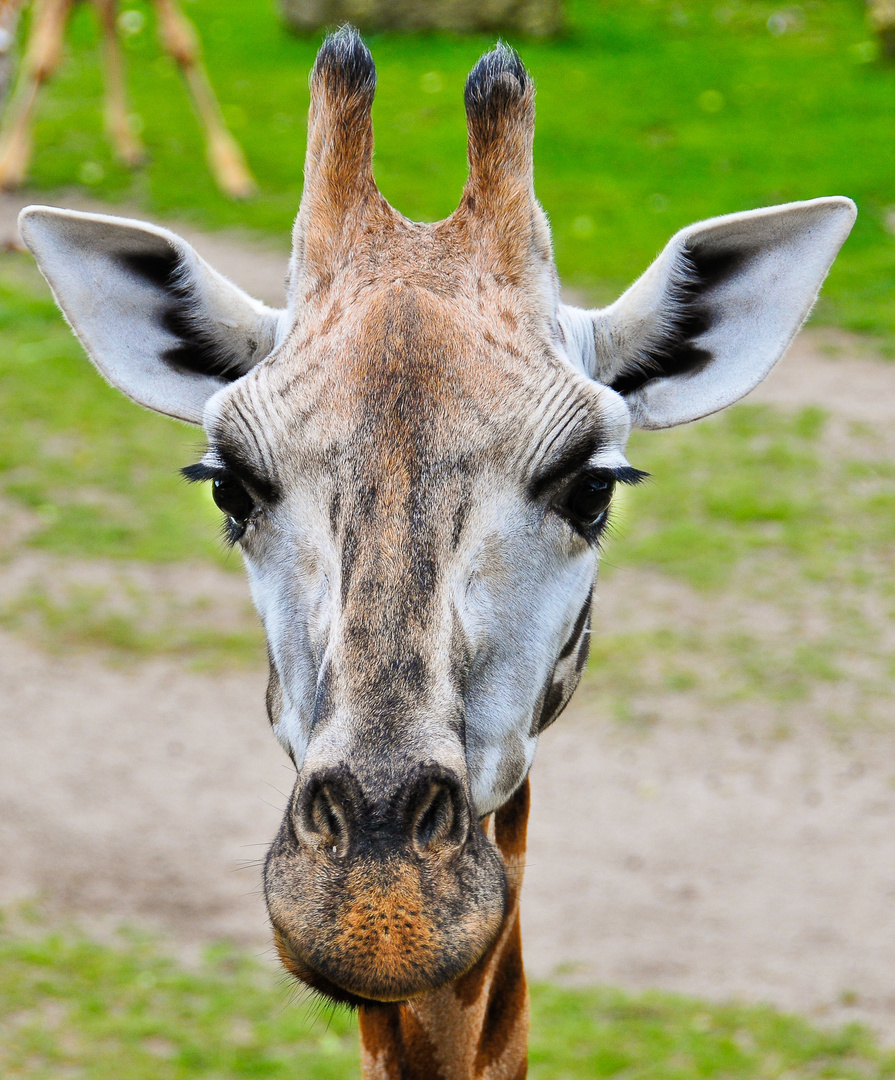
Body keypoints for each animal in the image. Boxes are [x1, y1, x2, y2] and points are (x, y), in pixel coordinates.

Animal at [0, 0, 254, 197]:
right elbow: (45, 59)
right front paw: (9, 164)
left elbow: (181, 46)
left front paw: (234, 173)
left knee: (105, 17)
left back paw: (126, 144)